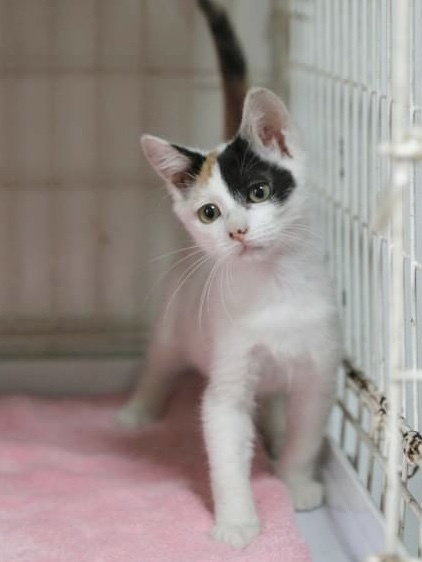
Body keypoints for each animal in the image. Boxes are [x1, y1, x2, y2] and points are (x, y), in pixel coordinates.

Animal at [118, 0, 343, 549]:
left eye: (258, 192)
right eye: (209, 213)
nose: (238, 231)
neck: (274, 289)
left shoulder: (318, 369)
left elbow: (307, 434)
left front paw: (295, 481)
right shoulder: (228, 376)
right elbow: (224, 448)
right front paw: (238, 523)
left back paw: (276, 435)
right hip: (176, 318)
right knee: (159, 360)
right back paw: (140, 408)